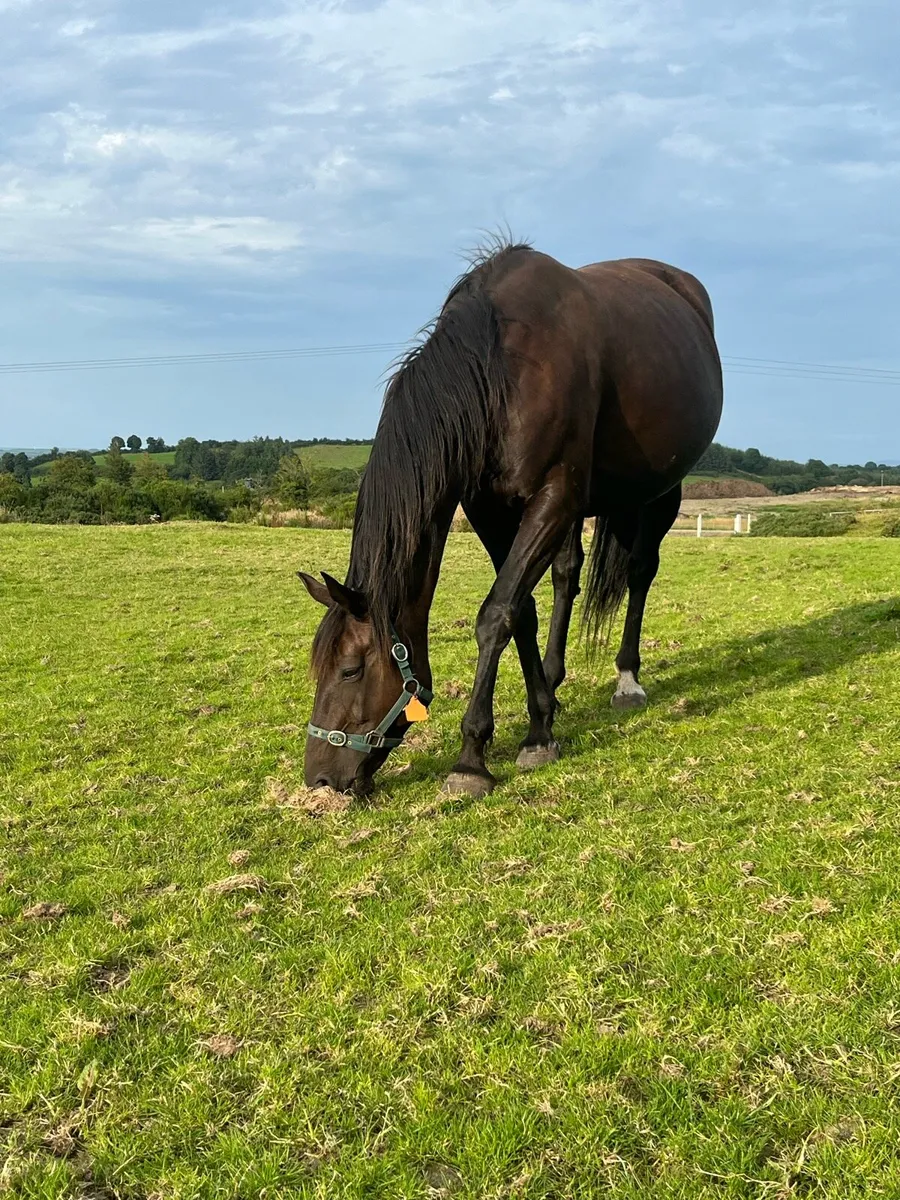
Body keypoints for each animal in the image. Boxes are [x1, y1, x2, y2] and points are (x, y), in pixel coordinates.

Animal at [299, 240, 722, 797]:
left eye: (350, 669)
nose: (320, 778)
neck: (500, 370)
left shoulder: (553, 496)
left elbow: (497, 612)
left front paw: (472, 759)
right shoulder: (490, 510)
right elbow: (522, 610)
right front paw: (540, 726)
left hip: (660, 494)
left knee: (639, 572)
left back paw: (627, 680)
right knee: (568, 574)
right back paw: (556, 679)